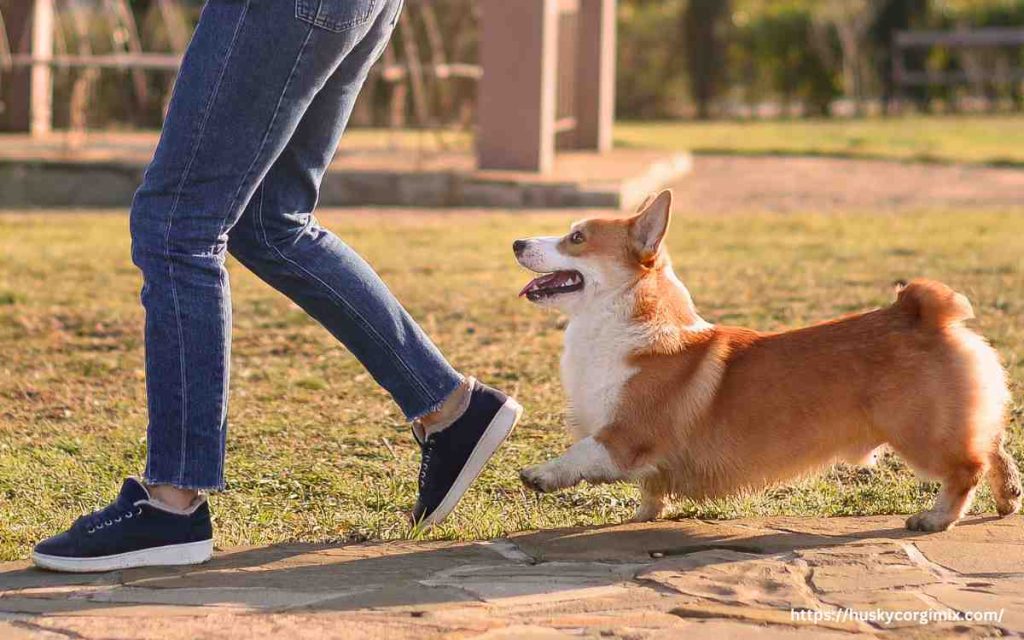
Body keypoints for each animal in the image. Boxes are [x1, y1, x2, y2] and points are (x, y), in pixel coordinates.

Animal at [516, 192, 1019, 532]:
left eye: (576, 237)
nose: (518, 241)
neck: (623, 322)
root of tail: (925, 312)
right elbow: (651, 489)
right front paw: (645, 515)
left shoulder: (625, 435)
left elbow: (581, 452)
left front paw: (540, 475)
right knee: (992, 445)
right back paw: (1009, 497)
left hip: (918, 432)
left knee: (967, 467)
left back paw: (935, 518)